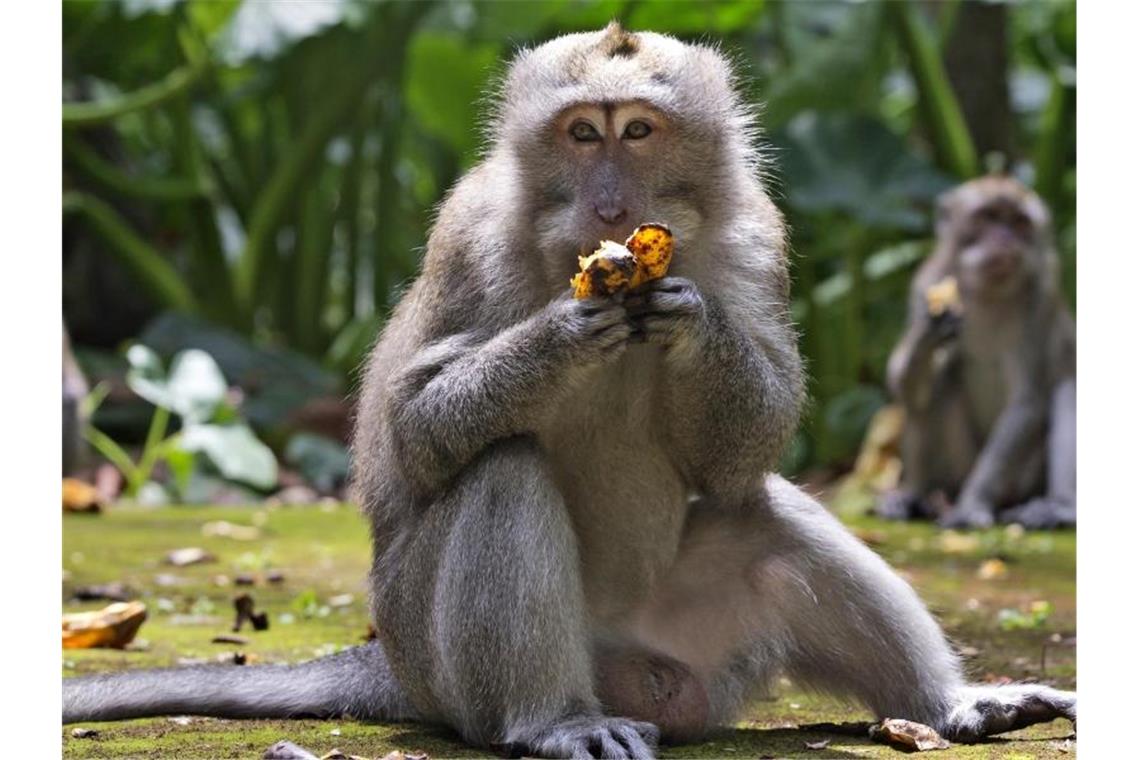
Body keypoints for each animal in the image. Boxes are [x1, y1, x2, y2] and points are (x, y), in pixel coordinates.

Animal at [880, 176, 1076, 528]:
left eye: (1019, 223)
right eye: (988, 217)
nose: (1005, 240)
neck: (988, 292)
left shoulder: (1042, 298)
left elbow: (1026, 402)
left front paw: (971, 504)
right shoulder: (926, 281)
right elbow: (903, 386)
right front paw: (929, 330)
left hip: (1024, 480)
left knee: (1066, 387)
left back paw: (1060, 506)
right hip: (959, 466)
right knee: (937, 384)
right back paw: (915, 495)